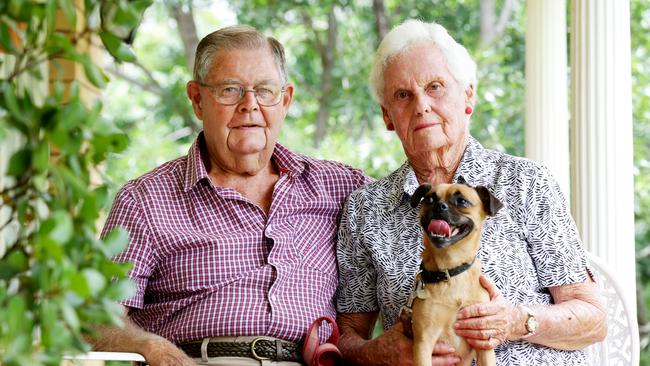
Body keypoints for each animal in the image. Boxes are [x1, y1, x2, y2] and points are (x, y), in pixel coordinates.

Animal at [404, 182, 502, 366]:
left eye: (462, 201)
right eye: (429, 199)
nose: (439, 206)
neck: (451, 271)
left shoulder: (483, 342)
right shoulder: (423, 342)